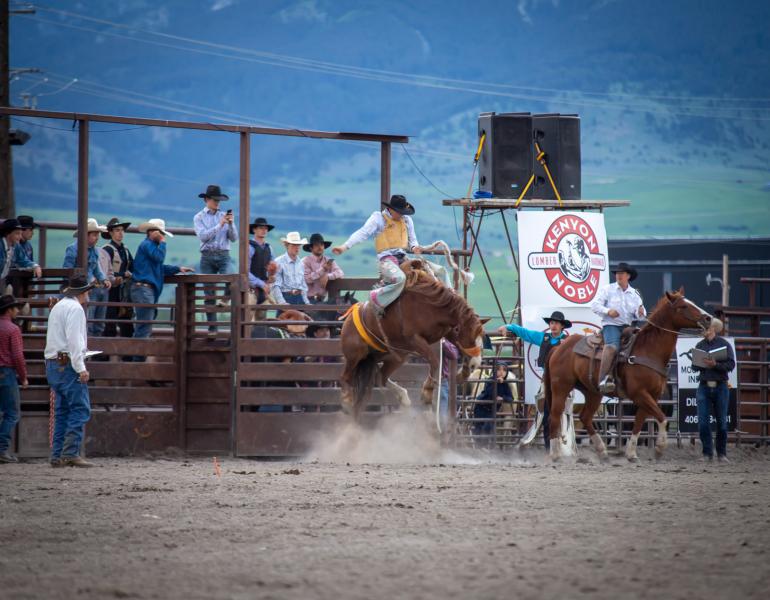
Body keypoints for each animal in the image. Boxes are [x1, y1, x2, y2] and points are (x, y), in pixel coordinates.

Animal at [340, 260, 484, 420]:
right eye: (470, 335)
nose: (475, 363)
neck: (431, 304)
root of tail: (348, 320)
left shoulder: (448, 332)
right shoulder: (415, 339)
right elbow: (434, 361)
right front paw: (427, 393)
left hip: (393, 356)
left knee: (380, 377)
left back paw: (403, 398)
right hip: (355, 355)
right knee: (345, 377)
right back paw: (347, 401)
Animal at [544, 288, 708, 462]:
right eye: (683, 306)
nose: (708, 318)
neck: (648, 350)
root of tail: (559, 347)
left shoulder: (651, 395)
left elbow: (639, 423)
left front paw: (631, 453)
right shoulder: (639, 393)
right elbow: (662, 417)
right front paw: (659, 448)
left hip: (592, 392)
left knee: (585, 417)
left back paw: (602, 451)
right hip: (561, 387)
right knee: (554, 416)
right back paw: (555, 454)